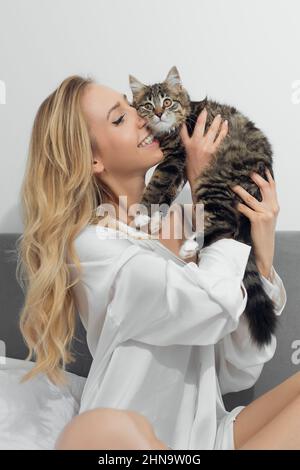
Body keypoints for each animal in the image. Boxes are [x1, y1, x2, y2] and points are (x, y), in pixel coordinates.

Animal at [129, 65, 278, 348]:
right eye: (147, 105)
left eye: (167, 102)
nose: (159, 113)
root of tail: (265, 163)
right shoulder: (179, 169)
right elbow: (168, 194)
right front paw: (155, 219)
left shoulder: (175, 157)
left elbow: (156, 184)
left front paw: (143, 214)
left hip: (215, 178)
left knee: (226, 224)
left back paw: (190, 245)